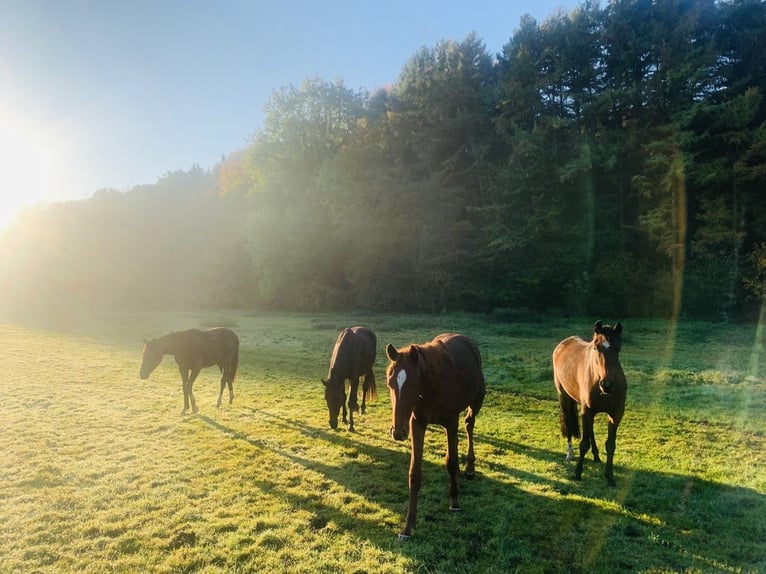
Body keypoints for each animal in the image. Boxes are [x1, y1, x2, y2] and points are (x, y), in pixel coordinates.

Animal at [388, 332, 488, 540]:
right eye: (390, 383)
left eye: (414, 384)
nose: (398, 432)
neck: (432, 387)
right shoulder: (417, 423)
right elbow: (414, 473)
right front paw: (408, 527)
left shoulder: (451, 421)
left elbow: (451, 462)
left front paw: (454, 502)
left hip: (476, 402)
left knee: (469, 424)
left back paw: (470, 467)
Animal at [556, 322, 628, 488]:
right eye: (596, 347)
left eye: (618, 348)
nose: (607, 385)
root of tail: (564, 343)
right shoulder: (587, 410)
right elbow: (583, 444)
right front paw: (577, 473)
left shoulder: (616, 414)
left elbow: (610, 445)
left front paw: (610, 477)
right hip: (564, 397)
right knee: (569, 423)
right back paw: (570, 454)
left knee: (591, 431)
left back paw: (596, 456)